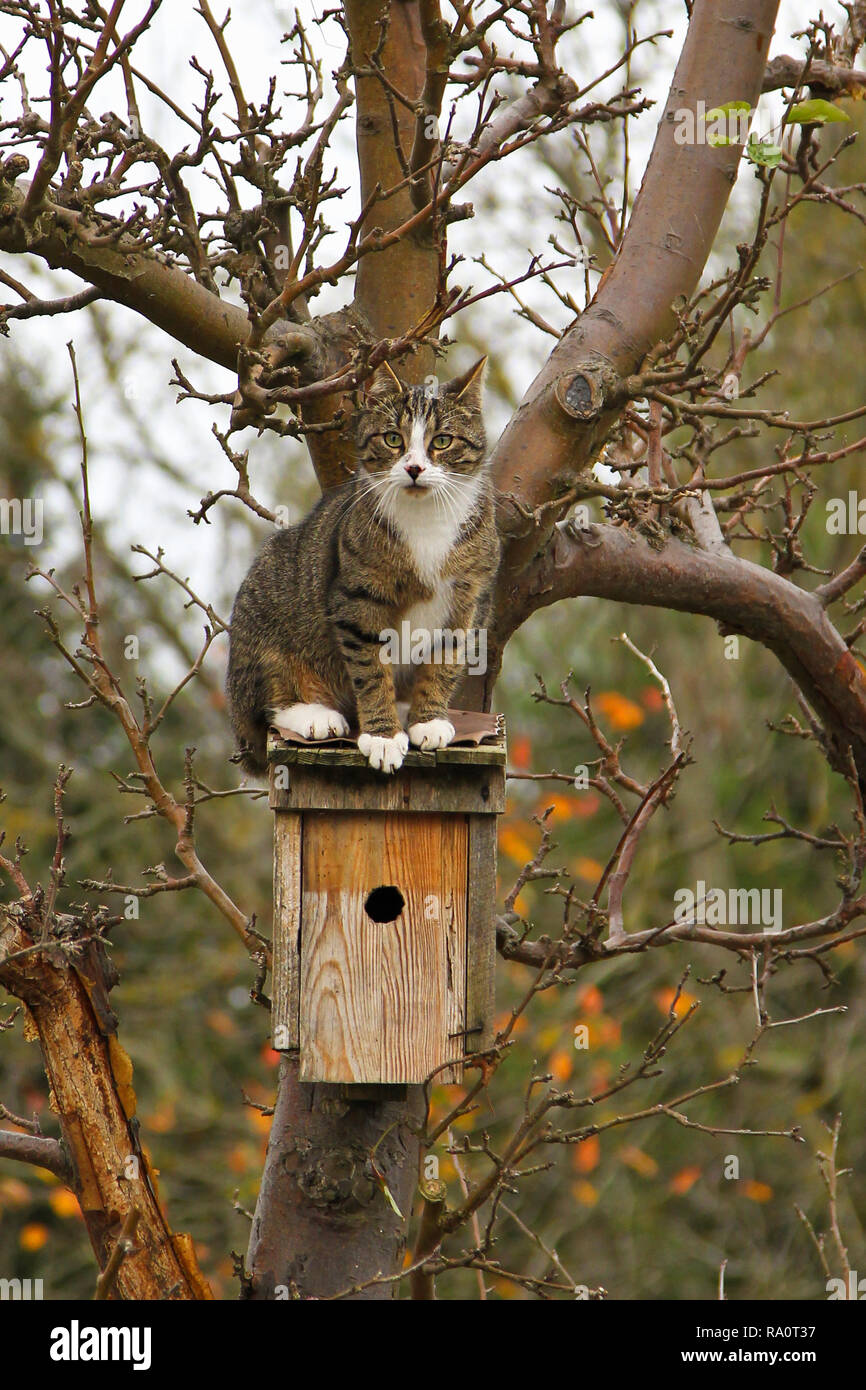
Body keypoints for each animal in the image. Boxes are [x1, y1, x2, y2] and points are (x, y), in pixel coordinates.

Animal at [226, 355, 497, 772]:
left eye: (442, 441)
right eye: (393, 439)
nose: (414, 468)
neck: (426, 520)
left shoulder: (470, 598)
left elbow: (445, 661)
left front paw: (429, 720)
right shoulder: (357, 599)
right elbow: (370, 670)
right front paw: (383, 737)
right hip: (264, 624)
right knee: (268, 701)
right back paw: (316, 714)